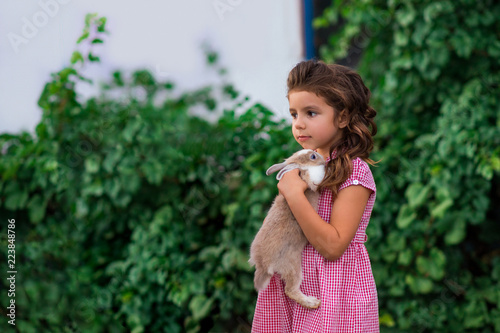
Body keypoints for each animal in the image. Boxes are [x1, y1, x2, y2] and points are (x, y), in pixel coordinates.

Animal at [249, 148, 326, 308]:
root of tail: (263, 265)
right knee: (290, 290)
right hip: (293, 267)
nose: (323, 158)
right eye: (313, 156)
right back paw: (313, 302)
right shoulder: (312, 179)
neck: (303, 168)